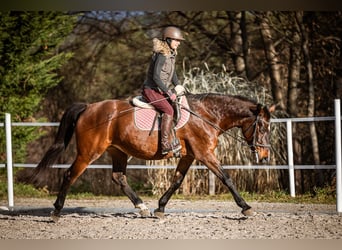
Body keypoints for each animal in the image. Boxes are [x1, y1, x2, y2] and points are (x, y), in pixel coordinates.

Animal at [32, 92, 276, 221]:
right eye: (263, 126)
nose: (264, 156)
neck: (206, 115)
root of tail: (89, 107)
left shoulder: (189, 156)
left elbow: (177, 181)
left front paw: (160, 207)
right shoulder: (205, 154)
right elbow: (226, 178)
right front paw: (245, 207)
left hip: (118, 151)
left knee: (119, 178)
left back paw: (142, 207)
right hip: (89, 153)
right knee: (69, 175)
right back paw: (56, 211)